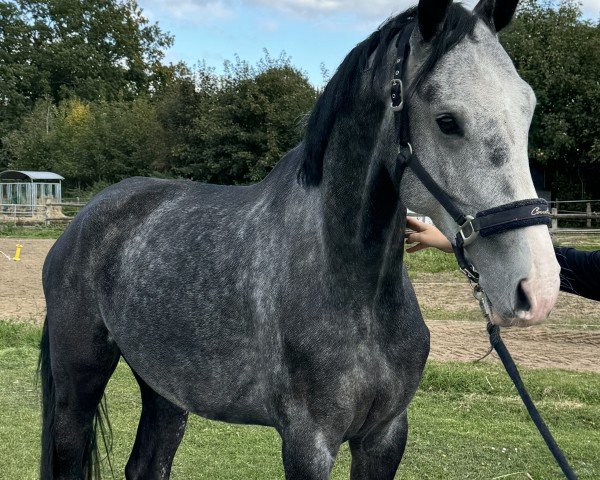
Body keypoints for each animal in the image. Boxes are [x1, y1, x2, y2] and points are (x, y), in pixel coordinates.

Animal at [41, 0, 556, 478]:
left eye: (527, 109)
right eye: (447, 120)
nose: (539, 288)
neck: (354, 291)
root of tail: (83, 221)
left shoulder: (385, 435)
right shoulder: (309, 442)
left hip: (165, 387)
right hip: (78, 384)